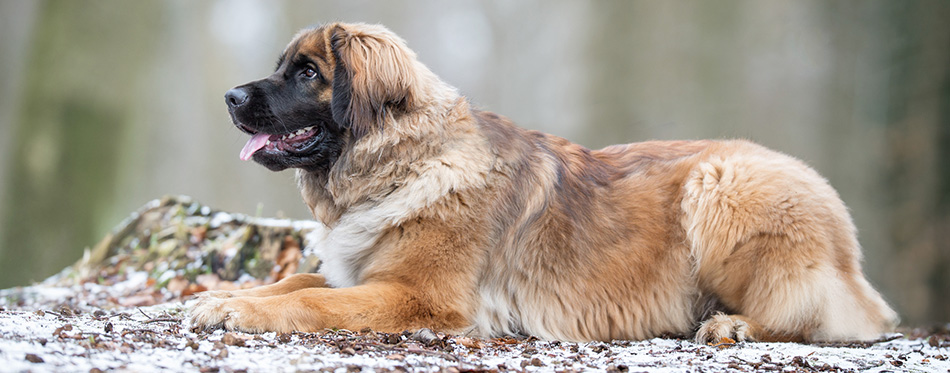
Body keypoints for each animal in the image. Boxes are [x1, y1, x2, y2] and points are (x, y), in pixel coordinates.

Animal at [192, 21, 900, 342]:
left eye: (309, 73)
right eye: (285, 66)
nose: (228, 97)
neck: (403, 164)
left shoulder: (416, 296)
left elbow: (311, 302)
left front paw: (233, 308)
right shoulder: (362, 273)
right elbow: (296, 282)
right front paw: (223, 296)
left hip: (723, 185)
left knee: (810, 315)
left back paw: (734, 327)